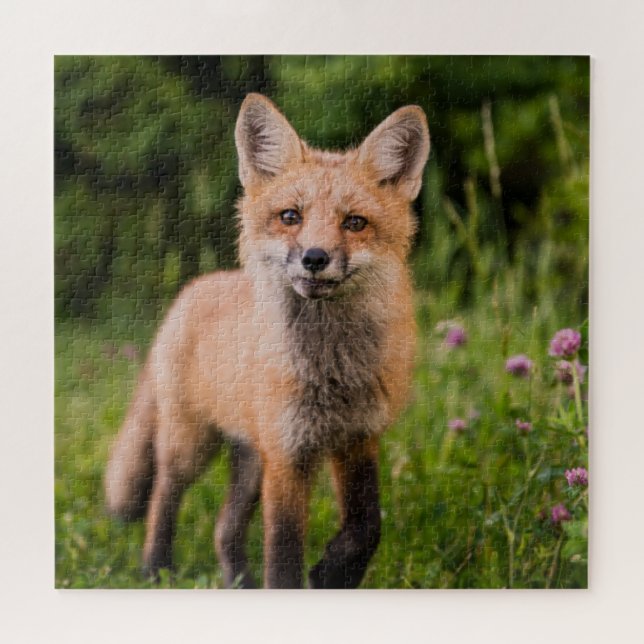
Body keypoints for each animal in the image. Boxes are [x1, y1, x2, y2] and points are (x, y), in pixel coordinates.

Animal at [104, 93, 430, 589]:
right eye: (290, 217)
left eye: (355, 223)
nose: (315, 257)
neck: (330, 372)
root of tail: (194, 289)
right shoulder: (289, 453)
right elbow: (283, 555)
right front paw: (308, 578)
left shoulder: (357, 438)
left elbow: (367, 526)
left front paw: (333, 574)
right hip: (192, 444)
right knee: (163, 495)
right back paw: (155, 567)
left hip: (251, 459)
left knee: (223, 529)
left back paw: (236, 580)